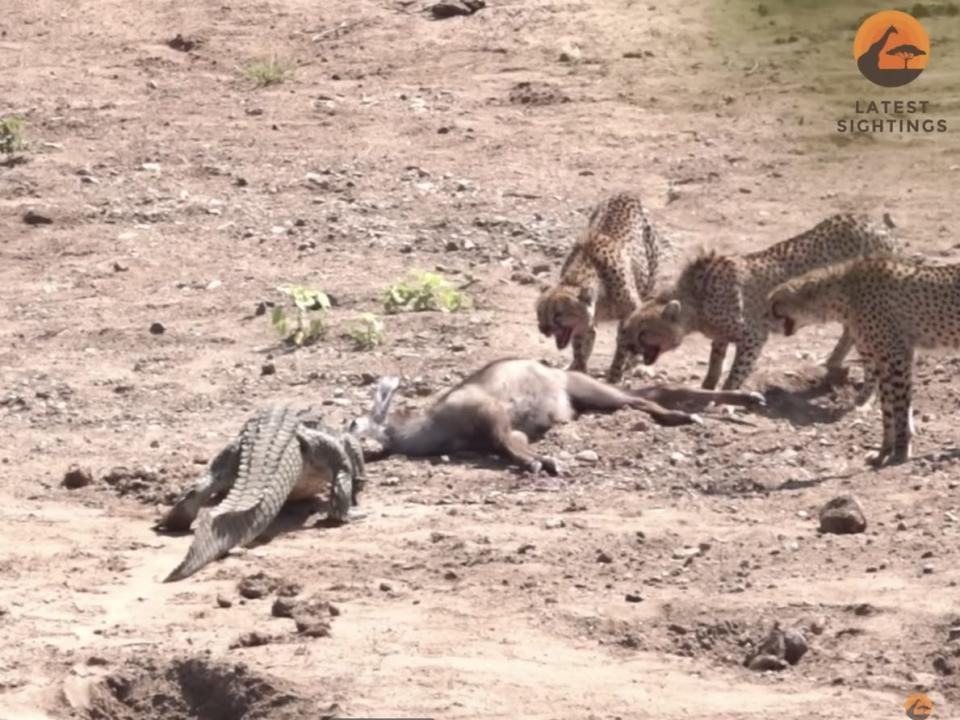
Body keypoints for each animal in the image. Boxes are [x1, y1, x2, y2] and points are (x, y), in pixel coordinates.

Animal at [532, 191, 668, 382]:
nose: (543, 329)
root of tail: (626, 192)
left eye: (559, 314)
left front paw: (614, 376)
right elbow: (580, 347)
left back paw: (634, 364)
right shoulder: (585, 323)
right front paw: (579, 369)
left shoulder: (629, 314)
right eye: (540, 313)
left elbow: (622, 348)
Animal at [616, 215, 900, 390]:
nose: (628, 347)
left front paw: (725, 395)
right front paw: (707, 387)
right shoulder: (721, 336)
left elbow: (736, 371)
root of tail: (876, 226)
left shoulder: (754, 335)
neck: (696, 301)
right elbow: (715, 363)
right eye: (627, 330)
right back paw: (833, 362)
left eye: (643, 332)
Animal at [764, 256, 952, 470]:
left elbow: (899, 407)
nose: (764, 320)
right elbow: (888, 409)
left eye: (774, 305)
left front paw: (900, 451)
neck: (843, 295)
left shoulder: (897, 356)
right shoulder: (886, 360)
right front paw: (883, 452)